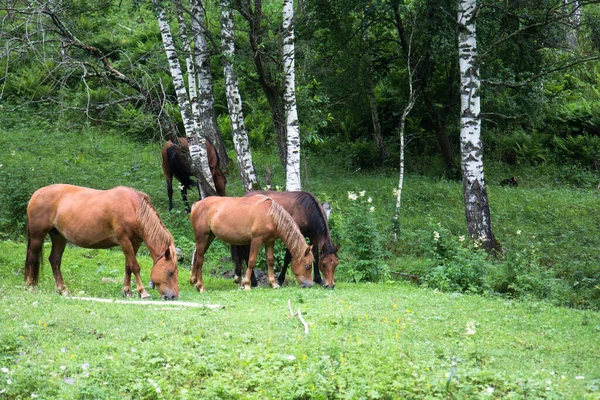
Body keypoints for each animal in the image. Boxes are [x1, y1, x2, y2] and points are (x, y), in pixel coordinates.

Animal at [24, 184, 178, 300]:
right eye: (170, 272)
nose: (174, 297)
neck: (134, 208)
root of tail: (37, 193)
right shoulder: (124, 241)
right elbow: (135, 266)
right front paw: (142, 292)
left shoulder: (135, 243)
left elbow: (128, 266)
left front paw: (127, 291)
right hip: (38, 236)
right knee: (32, 257)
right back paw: (29, 286)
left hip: (59, 237)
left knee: (55, 260)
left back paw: (63, 290)